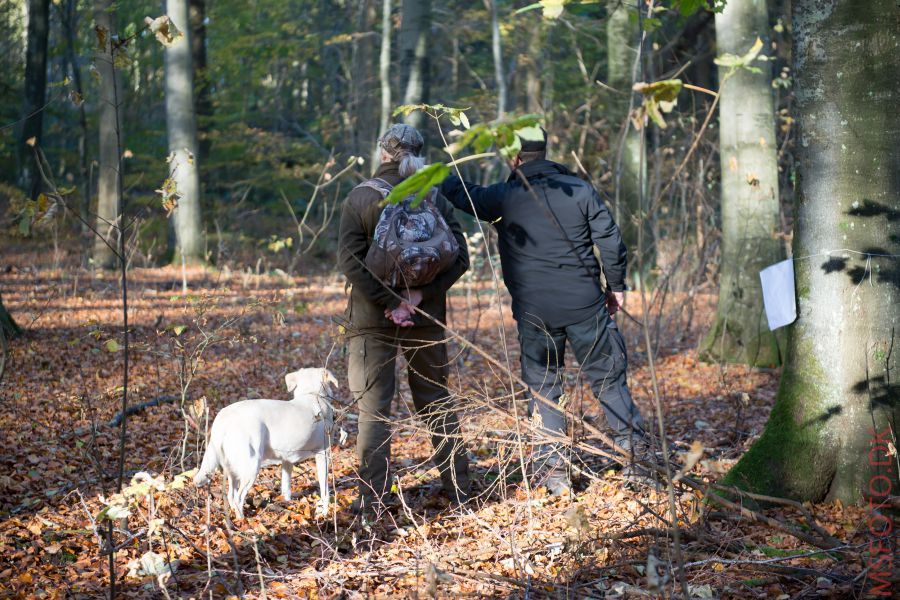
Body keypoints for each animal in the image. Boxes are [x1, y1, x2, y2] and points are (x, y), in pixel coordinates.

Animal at [193, 368, 338, 516]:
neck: (311, 394)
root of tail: (225, 415)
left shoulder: (287, 459)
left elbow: (286, 485)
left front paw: (287, 502)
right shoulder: (323, 454)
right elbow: (325, 490)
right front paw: (324, 513)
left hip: (233, 467)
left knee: (231, 495)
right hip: (251, 466)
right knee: (238, 498)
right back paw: (242, 519)